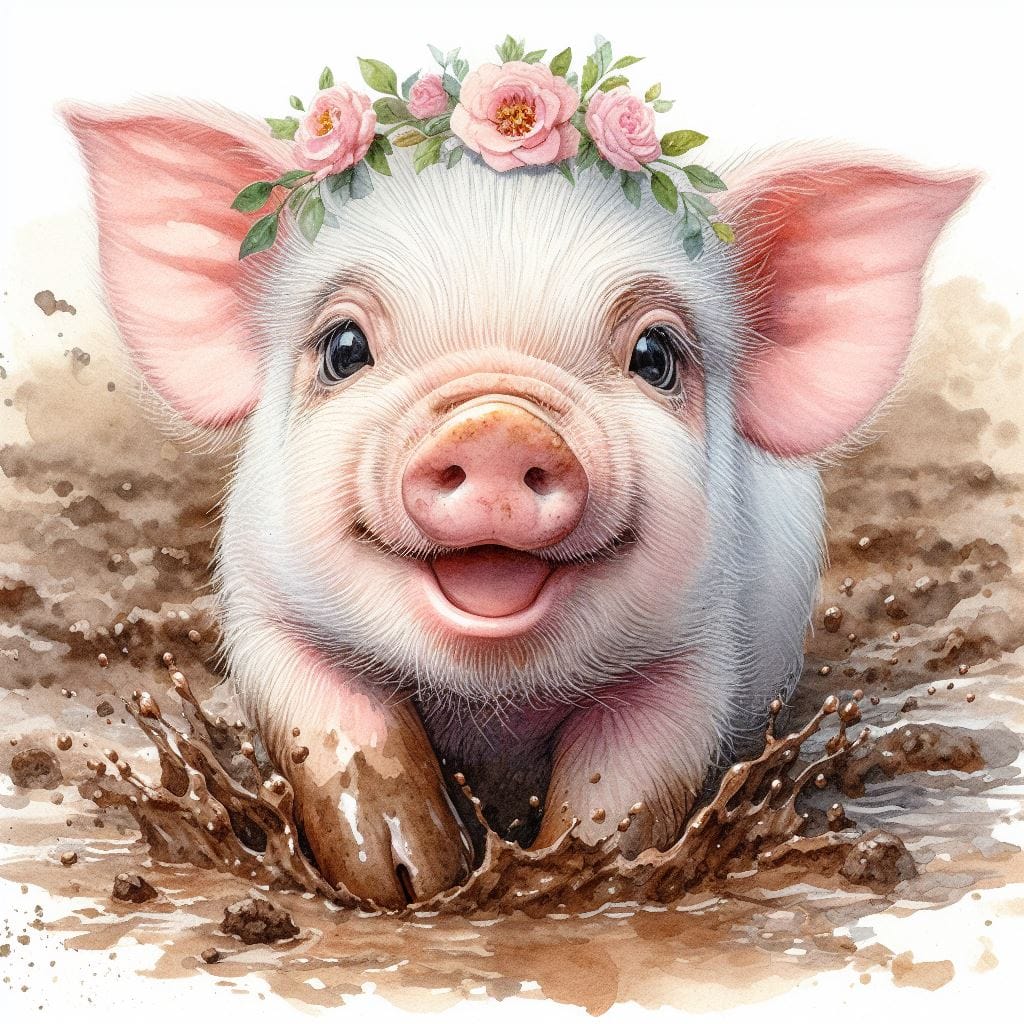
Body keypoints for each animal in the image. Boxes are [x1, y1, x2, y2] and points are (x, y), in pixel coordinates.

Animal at [62, 99, 976, 907]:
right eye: (343, 347)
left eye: (656, 355)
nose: (497, 425)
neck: (491, 704)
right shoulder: (262, 604)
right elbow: (336, 721)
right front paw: (406, 885)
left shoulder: (701, 648)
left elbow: (627, 779)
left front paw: (577, 881)